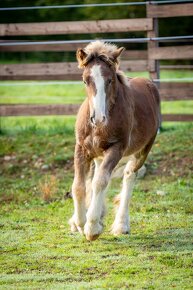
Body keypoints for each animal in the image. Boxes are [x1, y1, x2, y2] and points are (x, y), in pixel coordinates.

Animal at [69, 40, 160, 240]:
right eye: (85, 80)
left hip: (143, 149)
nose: (98, 118)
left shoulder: (116, 148)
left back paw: (121, 224)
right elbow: (79, 186)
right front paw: (79, 223)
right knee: (98, 176)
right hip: (98, 153)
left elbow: (100, 182)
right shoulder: (81, 148)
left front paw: (92, 228)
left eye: (110, 80)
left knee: (129, 175)